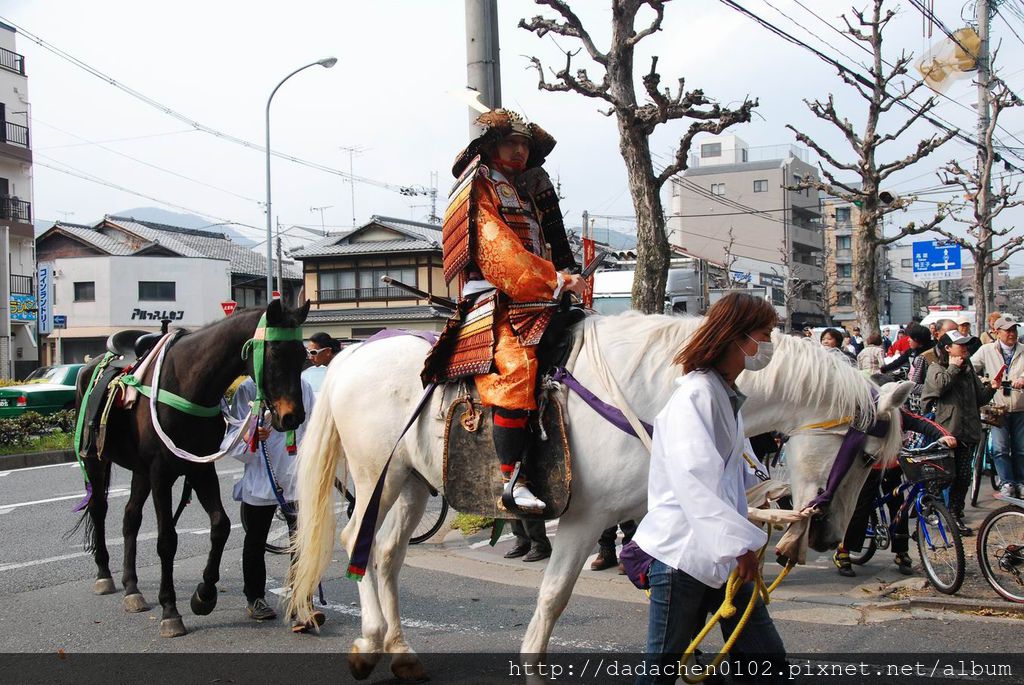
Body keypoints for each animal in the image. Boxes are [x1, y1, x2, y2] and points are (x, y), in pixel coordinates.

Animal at [74, 298, 309, 634]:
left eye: (303, 354)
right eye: (276, 352)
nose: (293, 417)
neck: (188, 383)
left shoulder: (199, 467)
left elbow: (221, 525)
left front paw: (204, 595)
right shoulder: (161, 472)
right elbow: (167, 540)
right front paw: (171, 610)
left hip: (139, 470)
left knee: (130, 518)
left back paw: (132, 588)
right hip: (96, 458)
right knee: (99, 508)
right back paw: (104, 574)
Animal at [286, 313, 905, 679]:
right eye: (868, 459)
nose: (828, 535)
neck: (657, 390)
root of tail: (356, 353)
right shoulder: (585, 518)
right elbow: (554, 595)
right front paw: (534, 669)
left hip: (416, 482)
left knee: (387, 554)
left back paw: (399, 651)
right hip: (377, 473)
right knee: (355, 539)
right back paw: (369, 641)